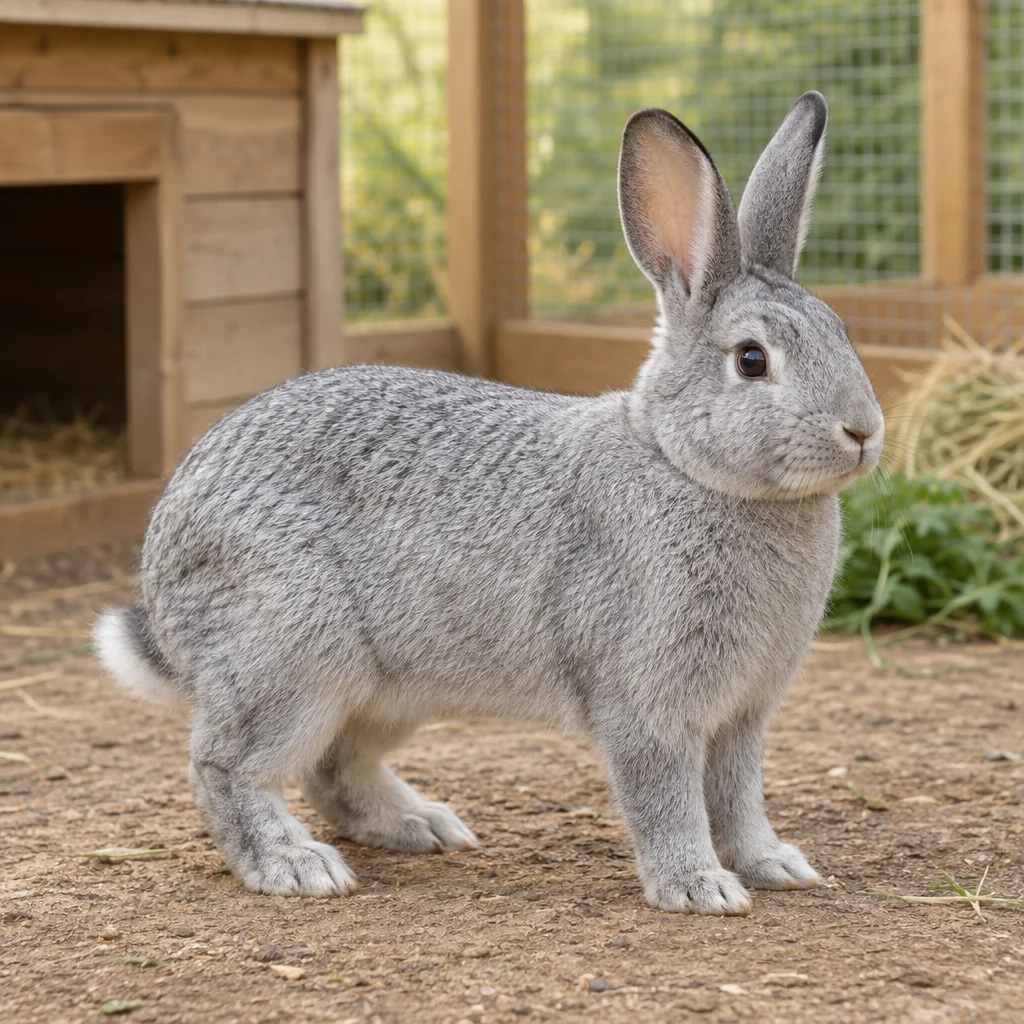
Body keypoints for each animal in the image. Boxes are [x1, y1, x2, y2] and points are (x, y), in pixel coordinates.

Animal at [95, 91, 883, 915]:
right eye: (751, 360)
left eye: (840, 331)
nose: (864, 431)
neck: (685, 463)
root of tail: (163, 564)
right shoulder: (648, 703)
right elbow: (666, 798)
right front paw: (699, 888)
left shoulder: (743, 716)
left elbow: (739, 796)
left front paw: (775, 864)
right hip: (290, 657)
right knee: (223, 763)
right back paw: (296, 865)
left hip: (387, 690)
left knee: (332, 767)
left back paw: (422, 824)